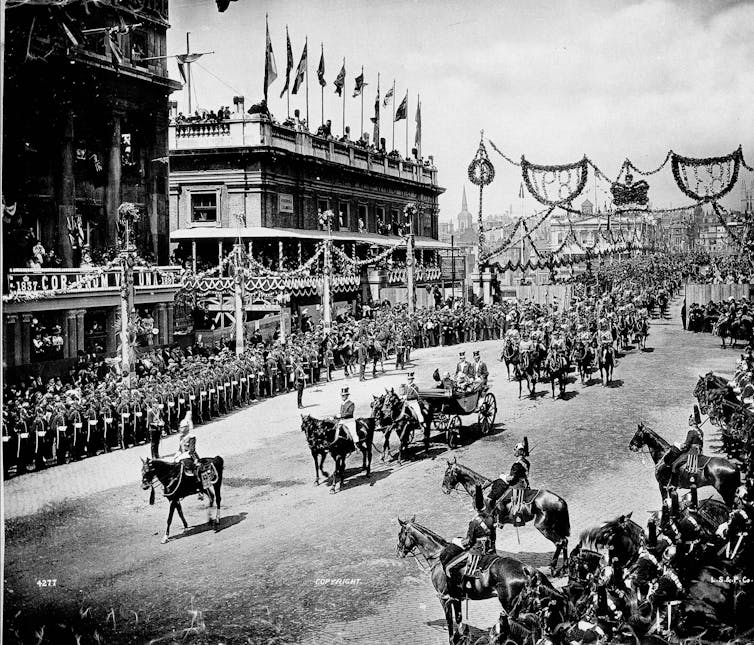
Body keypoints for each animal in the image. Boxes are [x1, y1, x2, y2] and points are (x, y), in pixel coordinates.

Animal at [394, 520, 552, 644]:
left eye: (400, 534)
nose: (398, 552)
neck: (438, 556)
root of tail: (526, 569)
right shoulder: (456, 598)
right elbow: (459, 619)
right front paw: (463, 638)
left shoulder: (444, 599)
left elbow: (450, 621)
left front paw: (453, 639)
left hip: (512, 607)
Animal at [438, 458, 568, 572]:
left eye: (447, 473)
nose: (444, 489)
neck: (482, 492)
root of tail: (559, 500)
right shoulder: (492, 525)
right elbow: (492, 543)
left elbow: (491, 544)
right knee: (565, 542)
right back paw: (564, 568)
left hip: (543, 527)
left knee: (560, 542)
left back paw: (553, 567)